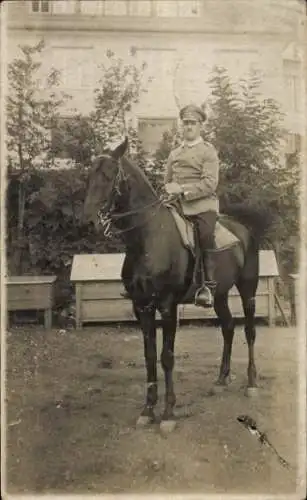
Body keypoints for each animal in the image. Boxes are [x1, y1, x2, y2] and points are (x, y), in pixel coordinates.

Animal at [83, 137, 274, 434]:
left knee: (249, 332)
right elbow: (150, 355)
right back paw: (221, 379)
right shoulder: (142, 306)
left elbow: (167, 356)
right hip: (219, 295)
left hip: (248, 291)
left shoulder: (167, 306)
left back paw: (252, 383)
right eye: (90, 175)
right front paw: (148, 410)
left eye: (108, 174)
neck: (148, 238)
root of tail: (244, 231)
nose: (89, 220)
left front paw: (168, 414)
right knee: (228, 327)